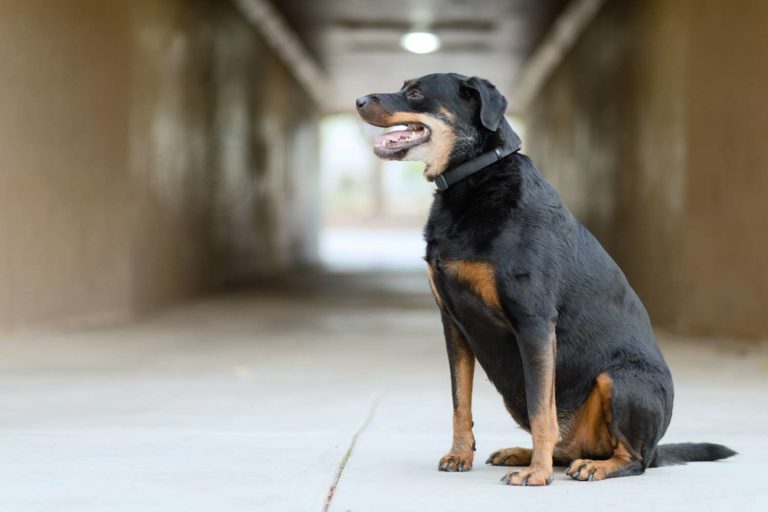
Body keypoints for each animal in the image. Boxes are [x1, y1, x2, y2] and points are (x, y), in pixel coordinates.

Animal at [356, 72, 736, 484]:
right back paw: (523, 453)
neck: (474, 178)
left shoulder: (533, 322)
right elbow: (461, 403)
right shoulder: (453, 324)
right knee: (566, 447)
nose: (359, 101)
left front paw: (537, 475)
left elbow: (542, 410)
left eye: (415, 93)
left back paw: (592, 466)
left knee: (632, 458)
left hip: (620, 380)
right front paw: (459, 455)